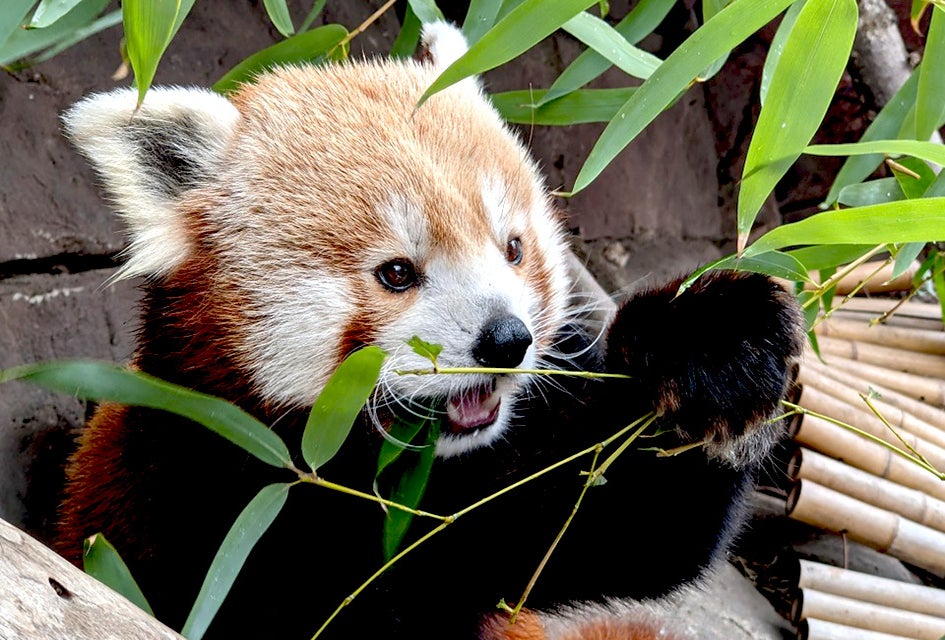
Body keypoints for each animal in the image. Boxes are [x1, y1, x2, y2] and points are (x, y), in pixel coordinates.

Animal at [55, 22, 803, 640]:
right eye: (396, 273)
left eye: (512, 249)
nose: (506, 341)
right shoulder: (191, 491)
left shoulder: (480, 503)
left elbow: (632, 526)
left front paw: (716, 342)